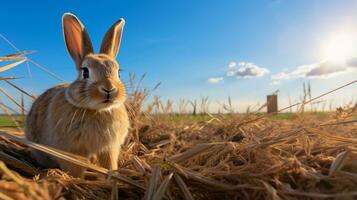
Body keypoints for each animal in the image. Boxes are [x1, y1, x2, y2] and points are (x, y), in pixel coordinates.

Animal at [24, 12, 129, 177]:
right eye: (85, 72)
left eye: (118, 73)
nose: (109, 89)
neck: (97, 111)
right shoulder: (71, 152)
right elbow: (75, 169)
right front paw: (77, 178)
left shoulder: (109, 149)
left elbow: (109, 165)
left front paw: (112, 175)